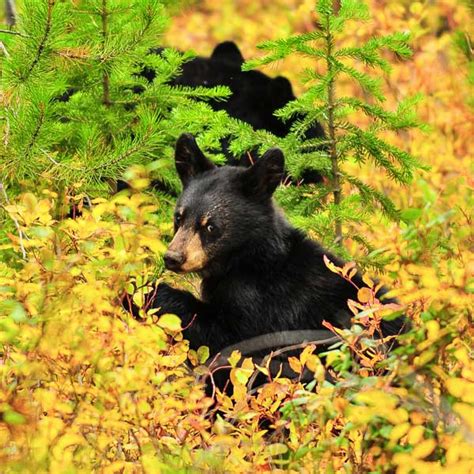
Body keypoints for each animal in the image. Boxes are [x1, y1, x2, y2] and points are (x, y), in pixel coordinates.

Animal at [148, 134, 408, 362]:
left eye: (211, 226)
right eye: (179, 217)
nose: (173, 257)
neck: (249, 260)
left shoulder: (267, 307)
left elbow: (230, 340)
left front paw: (154, 292)